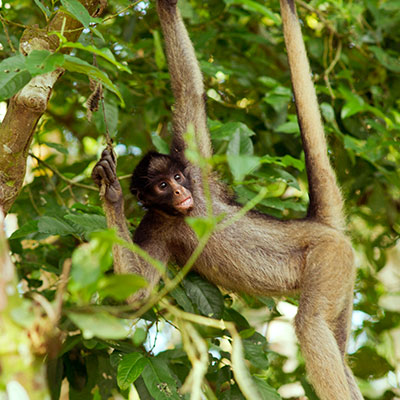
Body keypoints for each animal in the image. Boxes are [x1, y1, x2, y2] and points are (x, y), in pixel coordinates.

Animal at [92, 0, 364, 400]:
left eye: (176, 178)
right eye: (160, 186)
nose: (180, 192)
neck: (183, 213)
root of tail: (316, 224)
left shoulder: (196, 169)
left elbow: (189, 91)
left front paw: (165, 6)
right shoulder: (156, 223)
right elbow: (138, 294)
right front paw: (111, 193)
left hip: (328, 257)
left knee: (312, 324)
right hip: (343, 272)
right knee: (337, 348)